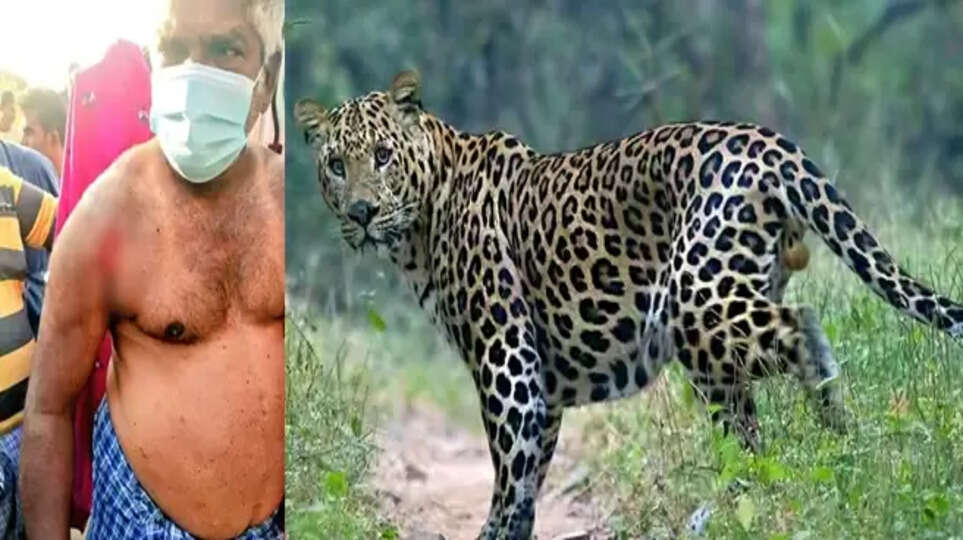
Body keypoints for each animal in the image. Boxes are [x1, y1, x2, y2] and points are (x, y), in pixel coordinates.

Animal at [294, 70, 963, 540]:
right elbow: (530, 476)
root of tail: (771, 142)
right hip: (716, 335)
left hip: (697, 298)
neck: (422, 223)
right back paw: (745, 501)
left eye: (382, 157)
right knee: (746, 427)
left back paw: (836, 430)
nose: (361, 213)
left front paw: (492, 533)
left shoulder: (507, 361)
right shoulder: (543, 385)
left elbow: (510, 471)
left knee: (802, 330)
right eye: (337, 165)